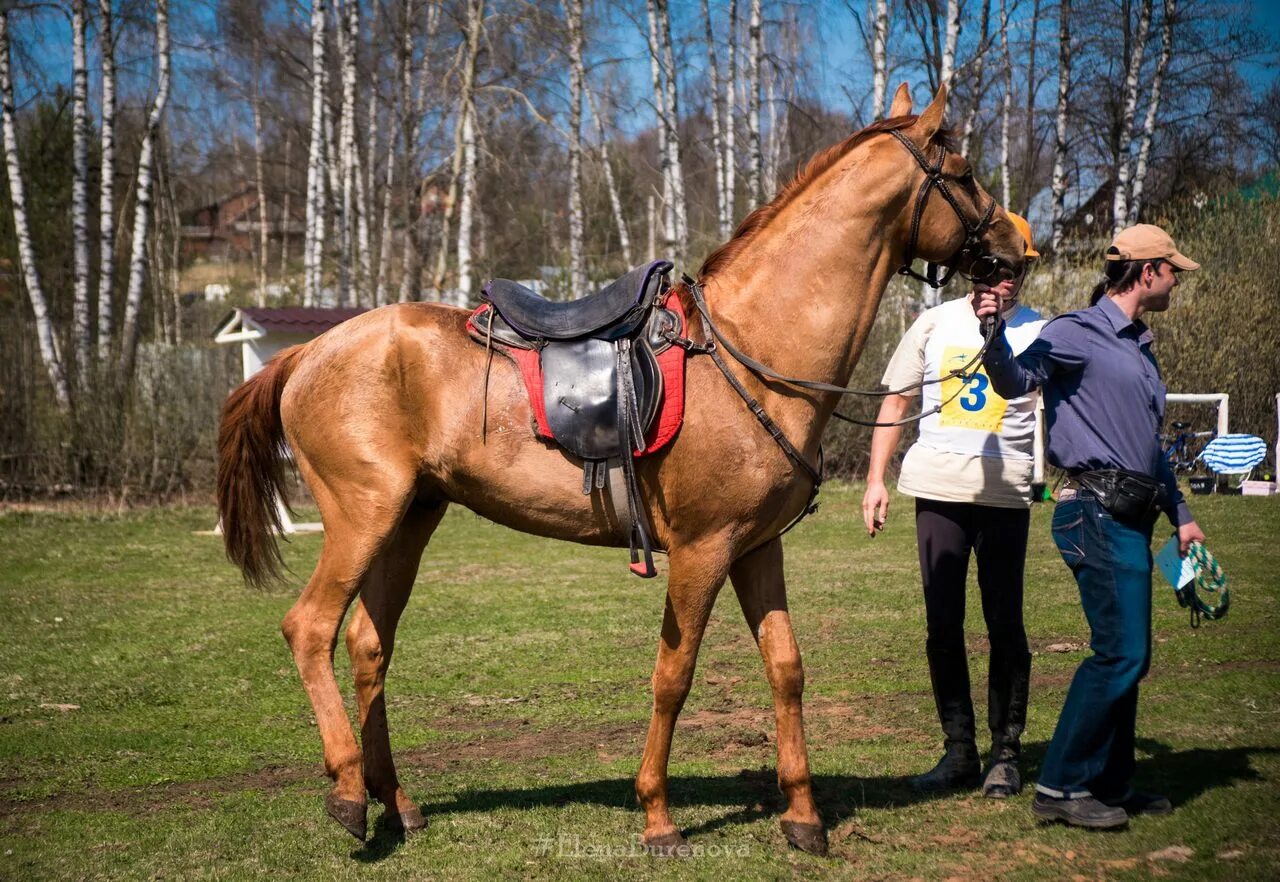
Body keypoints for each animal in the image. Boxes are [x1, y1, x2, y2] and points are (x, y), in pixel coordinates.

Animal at [217, 85, 1018, 855]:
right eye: (964, 174)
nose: (1018, 245)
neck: (753, 349)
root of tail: (307, 352)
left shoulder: (757, 547)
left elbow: (785, 668)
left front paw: (802, 816)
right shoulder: (702, 549)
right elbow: (674, 677)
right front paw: (658, 817)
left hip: (411, 519)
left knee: (367, 644)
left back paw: (396, 802)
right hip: (365, 514)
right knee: (310, 628)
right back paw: (350, 793)